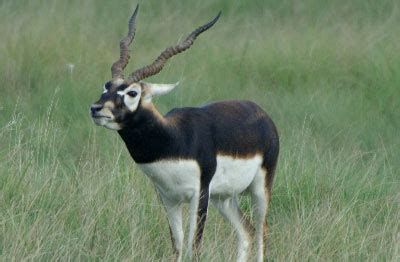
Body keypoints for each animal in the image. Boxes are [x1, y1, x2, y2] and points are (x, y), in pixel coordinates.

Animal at [90, 4, 278, 262]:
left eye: (132, 93)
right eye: (107, 86)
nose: (96, 109)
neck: (174, 139)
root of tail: (262, 114)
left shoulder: (198, 195)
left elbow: (194, 248)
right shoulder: (168, 197)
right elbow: (178, 246)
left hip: (259, 188)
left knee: (261, 232)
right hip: (223, 198)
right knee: (246, 232)